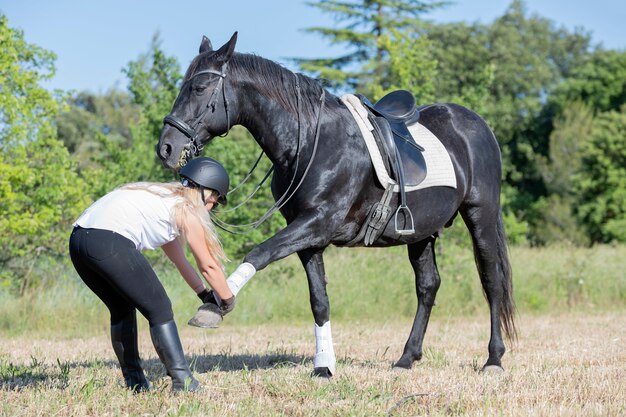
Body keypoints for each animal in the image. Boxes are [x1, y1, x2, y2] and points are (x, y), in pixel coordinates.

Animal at [155, 33, 512, 376]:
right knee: (428, 286)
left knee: (491, 281)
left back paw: (493, 359)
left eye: (199, 88)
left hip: (480, 215)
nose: (166, 148)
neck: (310, 142)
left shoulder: (318, 223)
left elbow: (259, 253)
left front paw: (214, 306)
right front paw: (324, 364)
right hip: (420, 232)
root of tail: (476, 124)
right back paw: (406, 358)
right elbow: (319, 301)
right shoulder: (307, 236)